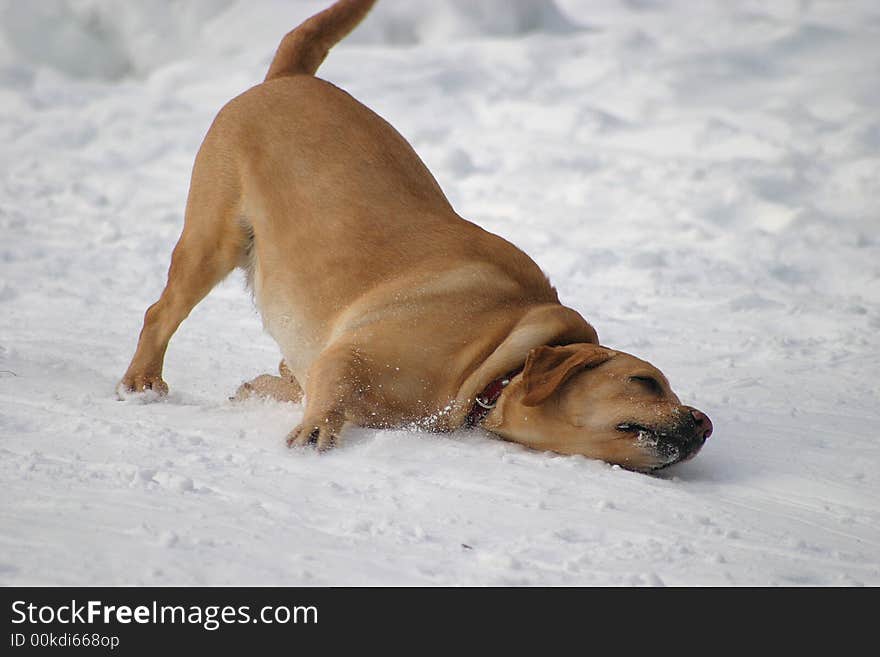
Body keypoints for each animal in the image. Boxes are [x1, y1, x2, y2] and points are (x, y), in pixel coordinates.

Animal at [117, 0, 712, 472]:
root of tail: (286, 78)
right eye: (645, 382)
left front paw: (264, 389)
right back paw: (142, 382)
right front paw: (314, 425)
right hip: (211, 241)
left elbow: (292, 380)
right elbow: (329, 391)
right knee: (159, 313)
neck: (494, 359)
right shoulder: (349, 354)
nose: (704, 423)